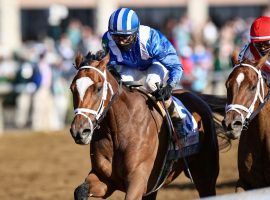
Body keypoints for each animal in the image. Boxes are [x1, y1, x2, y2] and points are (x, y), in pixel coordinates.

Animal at [69, 52, 219, 200]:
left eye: (98, 88)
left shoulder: (138, 180)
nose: (79, 131)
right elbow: (80, 191)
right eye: (72, 89)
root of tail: (198, 97)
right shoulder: (104, 178)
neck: (118, 130)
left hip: (206, 175)